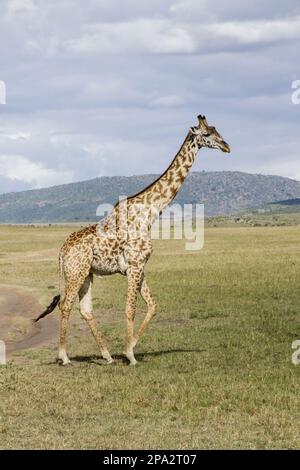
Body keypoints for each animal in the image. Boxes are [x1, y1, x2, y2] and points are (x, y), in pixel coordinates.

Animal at [35, 115, 231, 366]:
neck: (149, 212)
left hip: (87, 273)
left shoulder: (138, 266)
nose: (227, 146)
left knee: (85, 309)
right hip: (75, 272)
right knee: (65, 304)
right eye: (207, 134)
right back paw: (64, 356)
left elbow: (153, 305)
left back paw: (107, 356)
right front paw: (130, 355)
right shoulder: (135, 264)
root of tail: (61, 251)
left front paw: (130, 347)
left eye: (217, 130)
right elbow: (131, 308)